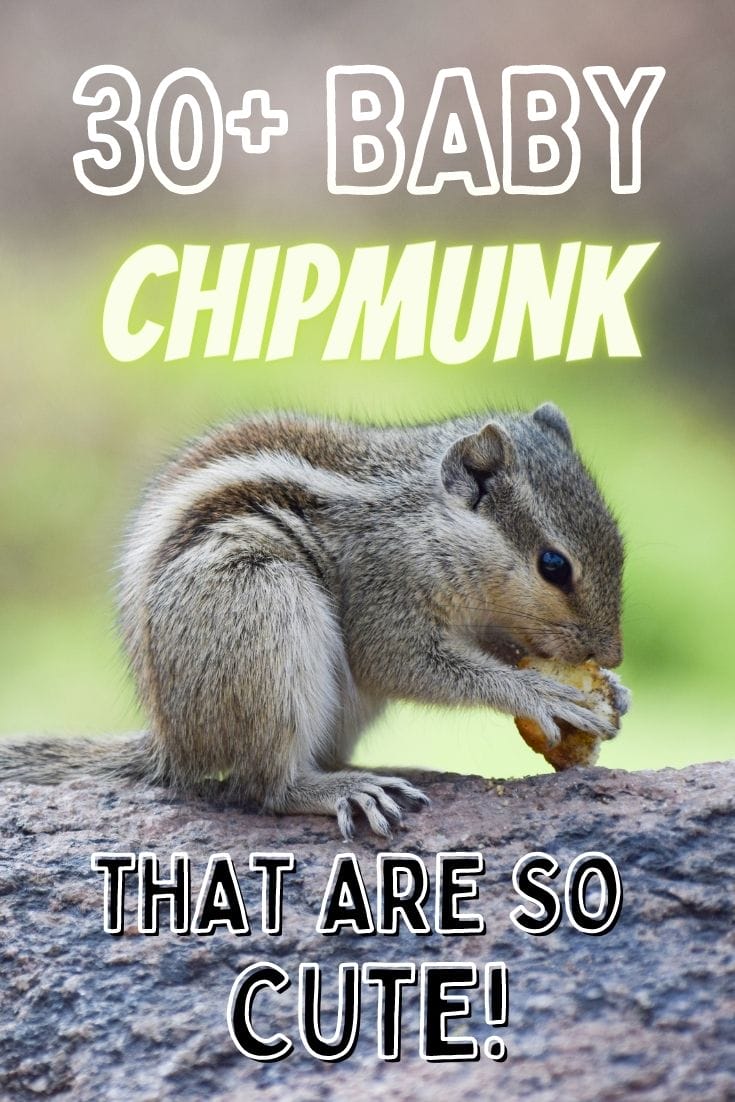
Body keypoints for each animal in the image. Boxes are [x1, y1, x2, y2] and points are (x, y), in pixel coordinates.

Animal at [0, 403, 630, 838]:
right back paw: (340, 789)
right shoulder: (382, 591)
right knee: (265, 788)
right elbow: (402, 663)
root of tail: (175, 745)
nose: (613, 654)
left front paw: (614, 690)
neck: (427, 523)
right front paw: (539, 693)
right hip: (261, 609)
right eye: (553, 566)